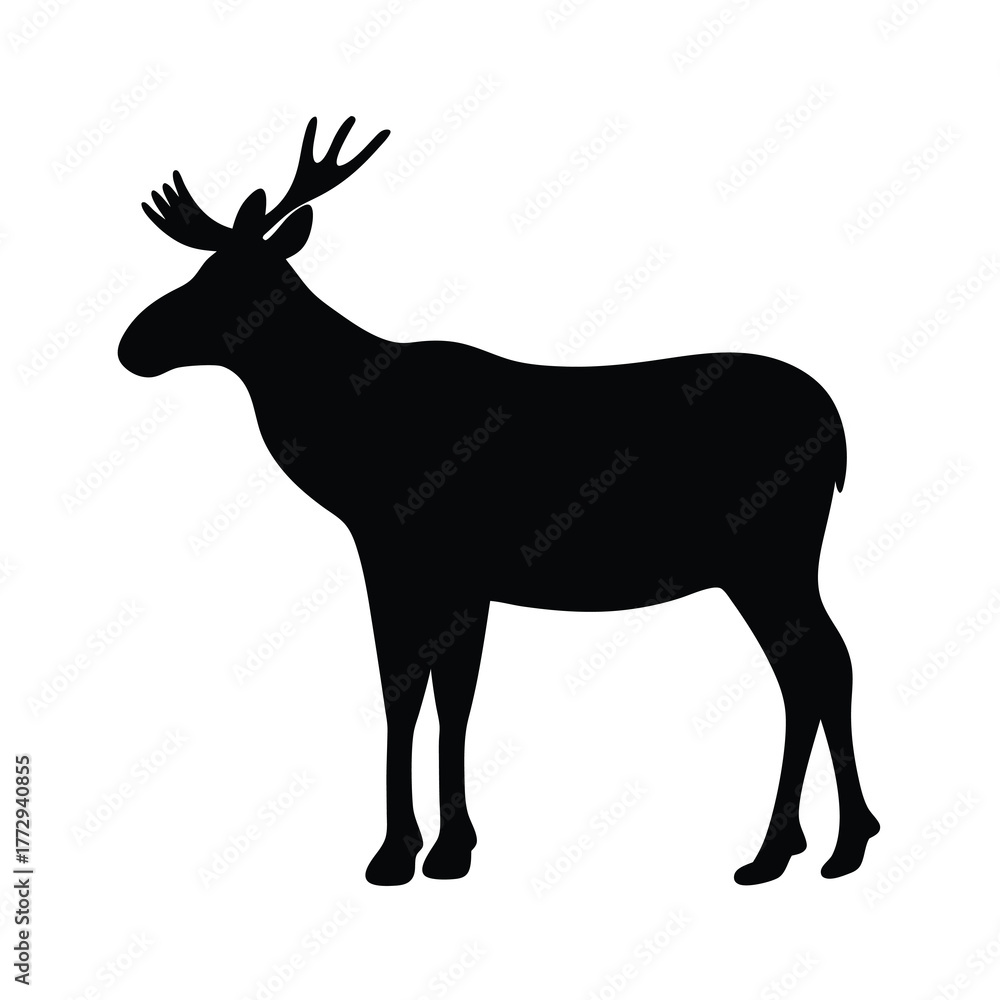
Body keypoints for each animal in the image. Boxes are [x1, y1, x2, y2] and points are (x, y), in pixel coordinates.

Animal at [118, 116, 880, 886]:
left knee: (821, 663)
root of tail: (840, 433)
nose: (131, 345)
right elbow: (435, 694)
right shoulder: (441, 573)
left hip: (768, 554)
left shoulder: (420, 559)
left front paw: (410, 852)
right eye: (200, 270)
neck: (347, 443)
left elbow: (418, 690)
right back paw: (807, 844)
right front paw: (439, 846)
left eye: (235, 280)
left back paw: (817, 845)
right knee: (815, 666)